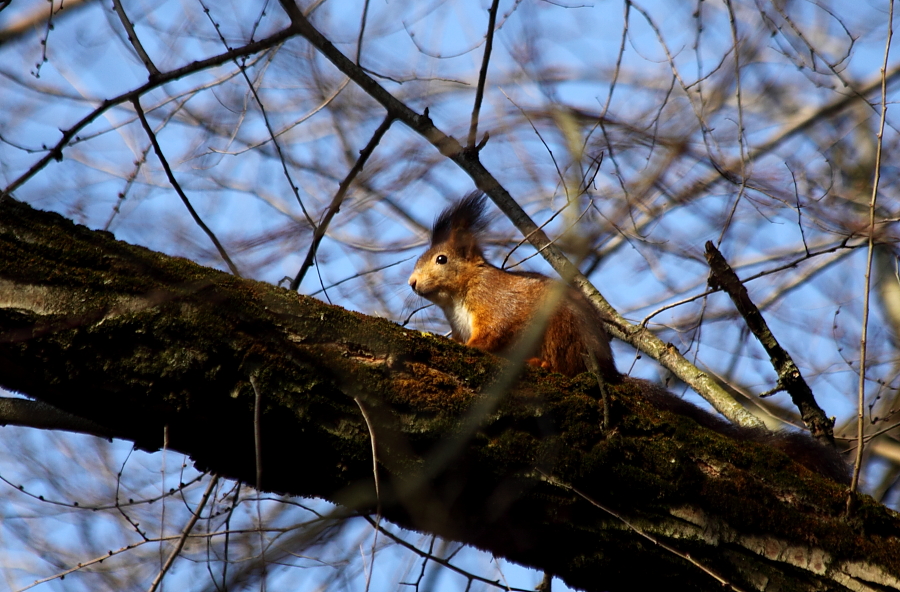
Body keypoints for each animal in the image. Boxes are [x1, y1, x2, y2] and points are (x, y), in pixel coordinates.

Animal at [412, 194, 848, 486]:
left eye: (441, 260)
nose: (412, 283)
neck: (459, 297)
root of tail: (609, 369)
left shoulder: (495, 305)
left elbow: (494, 331)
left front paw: (468, 348)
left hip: (562, 333)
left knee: (568, 368)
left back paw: (542, 364)